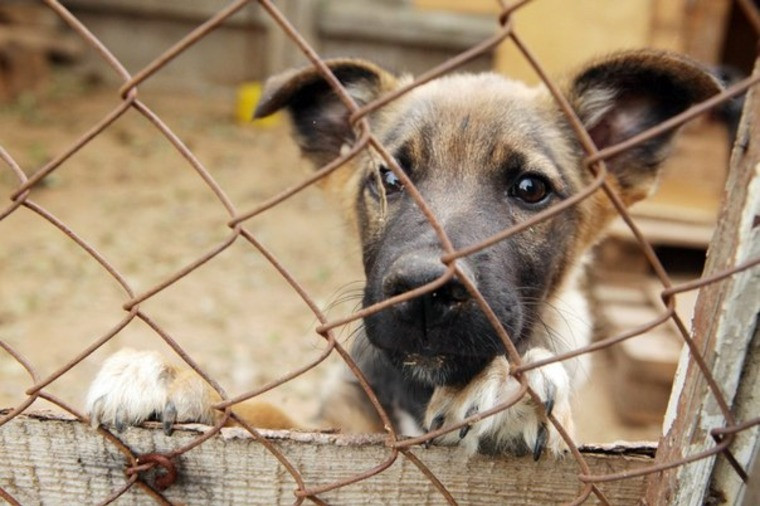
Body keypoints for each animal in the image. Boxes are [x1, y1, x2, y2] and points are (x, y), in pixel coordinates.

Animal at [86, 50, 721, 458]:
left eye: (531, 189)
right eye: (388, 178)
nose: (424, 294)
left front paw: (506, 385)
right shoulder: (335, 427)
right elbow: (264, 415)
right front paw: (176, 377)